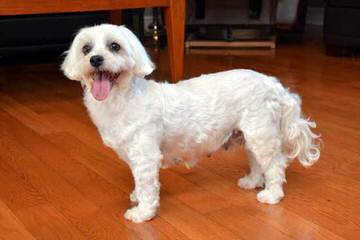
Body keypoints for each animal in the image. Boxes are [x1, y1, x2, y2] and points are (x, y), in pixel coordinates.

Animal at [61, 23, 320, 222]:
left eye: (114, 46)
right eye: (85, 49)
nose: (95, 59)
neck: (120, 100)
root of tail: (273, 84)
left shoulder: (145, 157)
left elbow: (147, 187)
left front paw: (143, 212)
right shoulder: (134, 157)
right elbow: (139, 183)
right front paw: (136, 196)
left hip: (261, 134)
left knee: (275, 166)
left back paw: (272, 194)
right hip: (251, 135)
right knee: (259, 162)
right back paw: (253, 182)